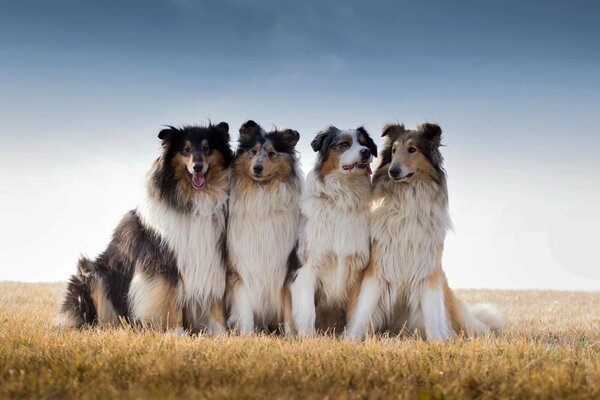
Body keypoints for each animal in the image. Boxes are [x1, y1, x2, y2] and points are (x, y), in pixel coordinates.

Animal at [55, 122, 234, 334]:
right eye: (186, 149)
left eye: (207, 148)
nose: (197, 167)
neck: (196, 199)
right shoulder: (163, 264)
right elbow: (170, 300)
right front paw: (176, 333)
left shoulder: (211, 260)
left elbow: (216, 304)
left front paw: (223, 334)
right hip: (93, 274)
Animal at [225, 119, 302, 334]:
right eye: (253, 151)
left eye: (272, 153)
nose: (257, 168)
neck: (262, 193)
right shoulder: (241, 269)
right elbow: (245, 311)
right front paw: (247, 335)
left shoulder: (286, 269)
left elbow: (287, 310)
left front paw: (290, 337)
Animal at [288, 126, 378, 334]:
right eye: (344, 144)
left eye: (365, 144)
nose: (366, 152)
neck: (343, 197)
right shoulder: (307, 267)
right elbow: (307, 312)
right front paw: (307, 338)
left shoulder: (356, 269)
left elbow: (355, 313)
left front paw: (351, 337)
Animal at [344, 122, 504, 340]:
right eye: (394, 151)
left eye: (412, 149)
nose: (393, 171)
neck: (408, 200)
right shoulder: (379, 268)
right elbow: (364, 308)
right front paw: (352, 338)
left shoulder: (427, 270)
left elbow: (431, 311)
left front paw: (438, 341)